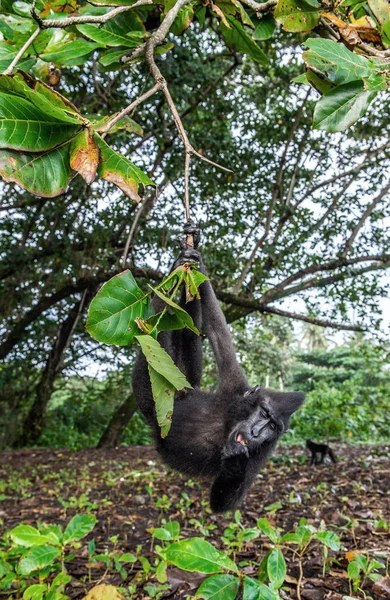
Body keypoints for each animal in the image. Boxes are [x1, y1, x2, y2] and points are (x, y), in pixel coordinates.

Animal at [134, 223, 304, 512]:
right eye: (264, 413)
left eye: (272, 427)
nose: (256, 433)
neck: (229, 421)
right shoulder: (236, 385)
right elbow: (216, 329)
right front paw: (195, 258)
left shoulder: (265, 451)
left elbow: (225, 503)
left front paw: (235, 464)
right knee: (178, 330)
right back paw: (174, 278)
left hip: (163, 395)